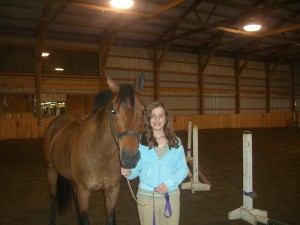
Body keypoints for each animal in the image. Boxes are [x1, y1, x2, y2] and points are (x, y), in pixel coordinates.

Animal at [43, 74, 145, 224]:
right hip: (51, 170)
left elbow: (110, 218)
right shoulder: (84, 193)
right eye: (113, 111)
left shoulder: (112, 191)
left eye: (143, 111)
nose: (130, 157)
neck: (99, 153)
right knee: (53, 195)